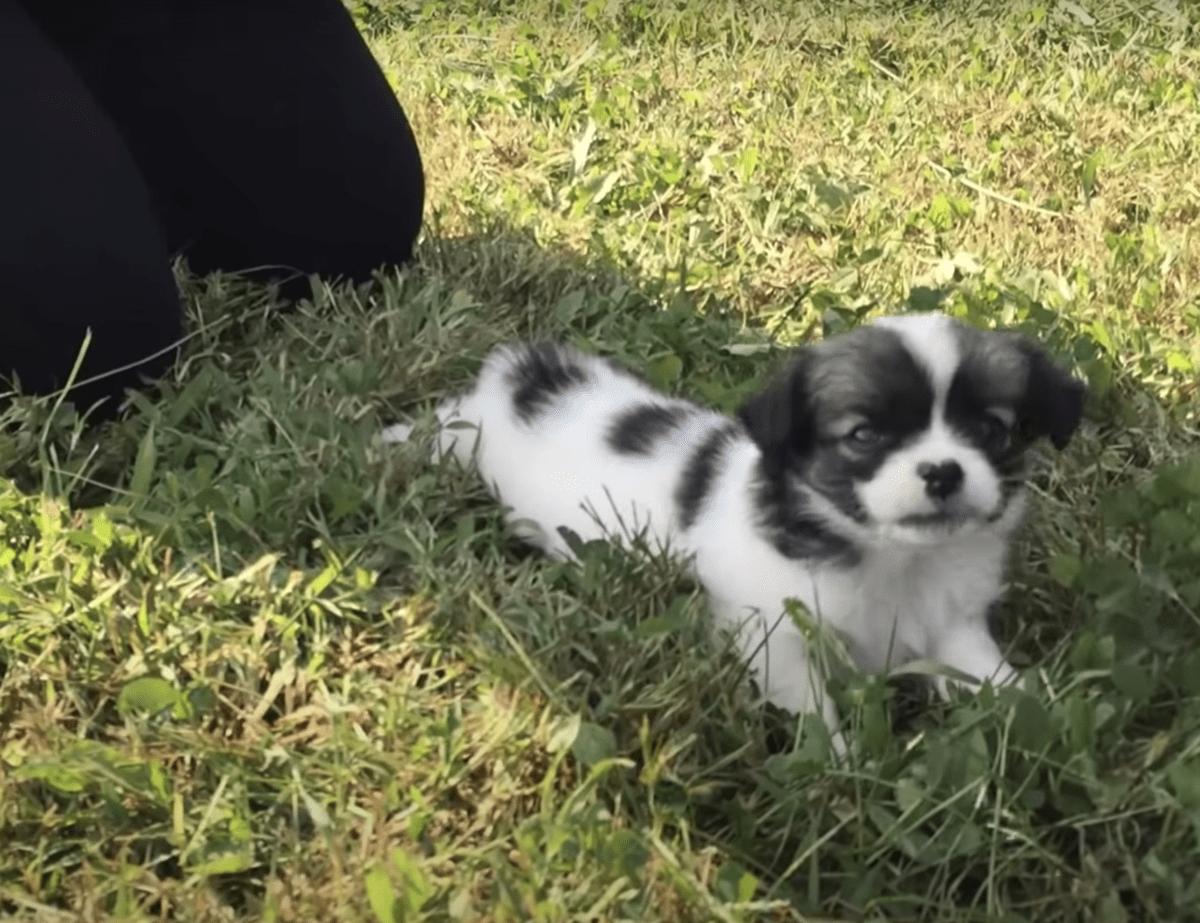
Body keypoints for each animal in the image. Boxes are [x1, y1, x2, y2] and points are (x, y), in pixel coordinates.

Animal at [384, 312, 1089, 739]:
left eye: (991, 430)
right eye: (863, 436)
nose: (942, 471)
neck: (892, 557)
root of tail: (521, 377)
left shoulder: (953, 624)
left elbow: (992, 678)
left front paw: (1047, 718)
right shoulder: (773, 634)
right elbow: (813, 712)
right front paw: (839, 771)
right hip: (466, 439)